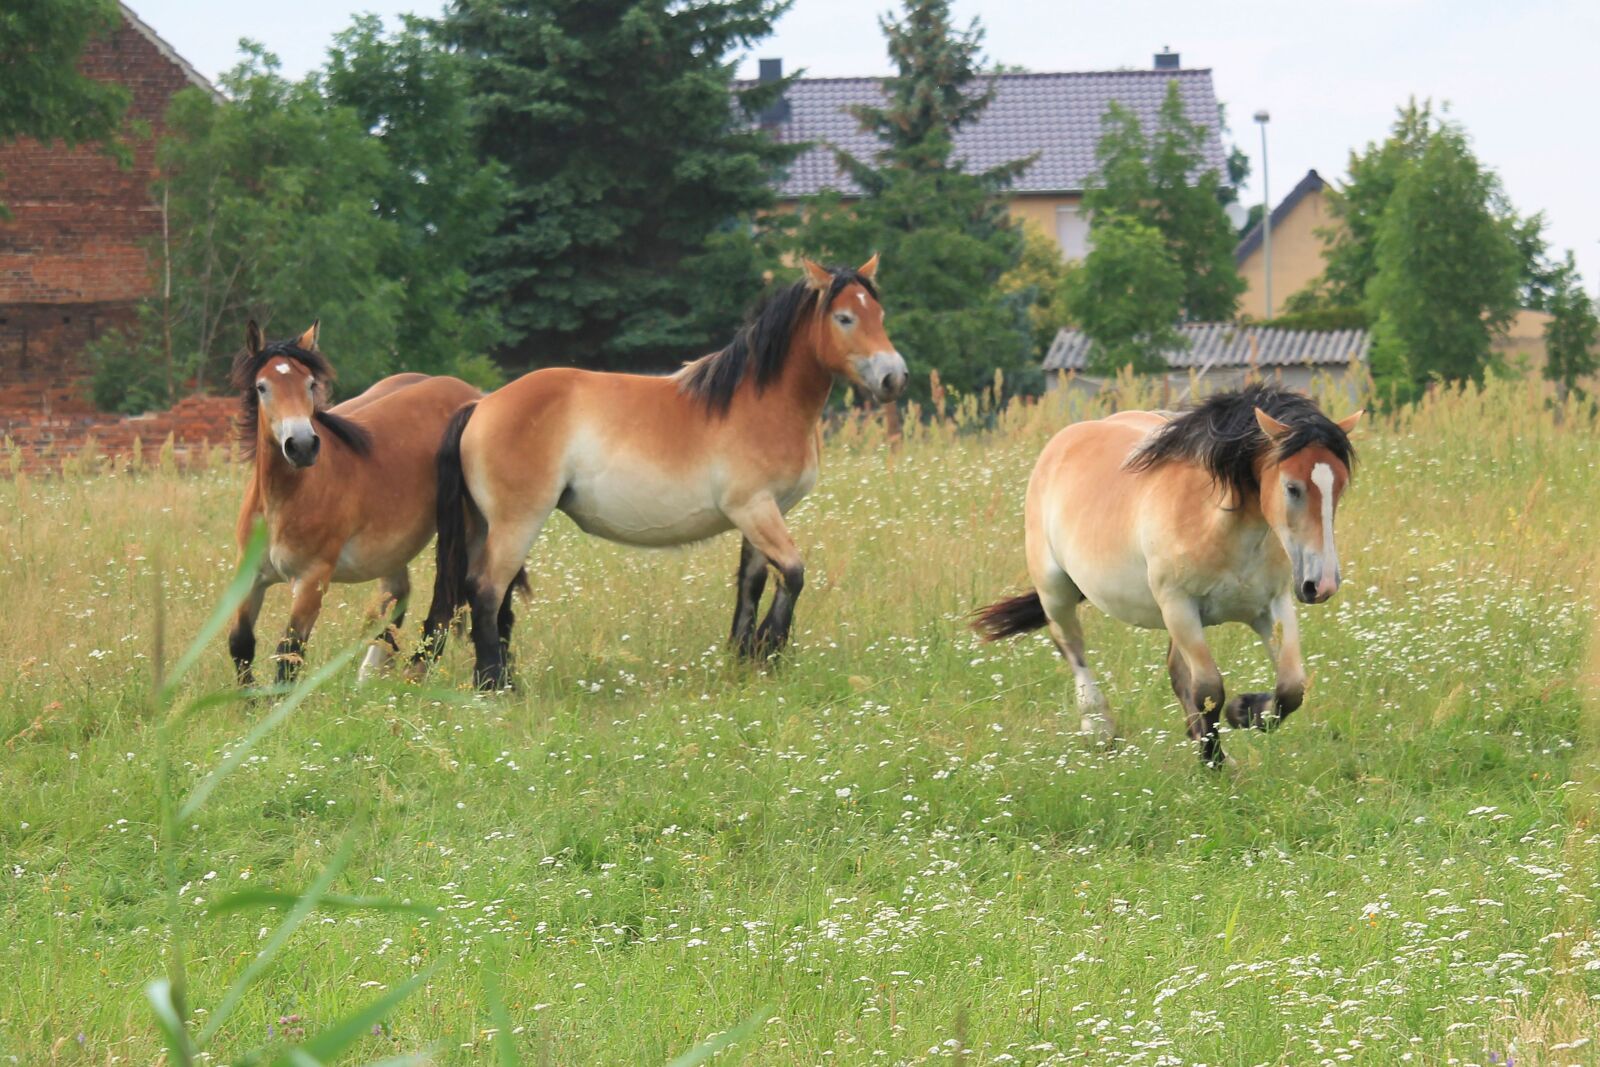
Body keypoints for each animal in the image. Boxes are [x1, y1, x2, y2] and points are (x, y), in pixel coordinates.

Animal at [226, 320, 484, 686]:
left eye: (310, 383)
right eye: (262, 387)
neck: (284, 500)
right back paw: (369, 677)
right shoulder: (250, 575)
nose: (301, 446)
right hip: (393, 546)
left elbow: (288, 654)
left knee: (446, 603)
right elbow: (241, 643)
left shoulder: (311, 580)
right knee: (394, 597)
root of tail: (475, 394)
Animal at [414, 256, 906, 690]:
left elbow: (753, 582)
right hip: (517, 523)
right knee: (486, 592)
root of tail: (481, 406)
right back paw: (496, 684)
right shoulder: (755, 509)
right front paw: (769, 648)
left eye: (879, 314)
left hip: (484, 525)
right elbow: (794, 573)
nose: (894, 378)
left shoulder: (764, 514)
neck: (761, 403)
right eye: (844, 317)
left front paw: (744, 658)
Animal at [973, 385, 1360, 766]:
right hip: (1056, 590)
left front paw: (1244, 712)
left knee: (1175, 670)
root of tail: (1064, 441)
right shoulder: (1179, 605)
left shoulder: (1273, 605)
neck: (1216, 523)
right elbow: (1209, 690)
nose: (1322, 585)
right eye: (1292, 487)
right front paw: (1215, 759)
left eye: (1340, 487)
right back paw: (1099, 728)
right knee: (1071, 647)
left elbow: (1291, 687)